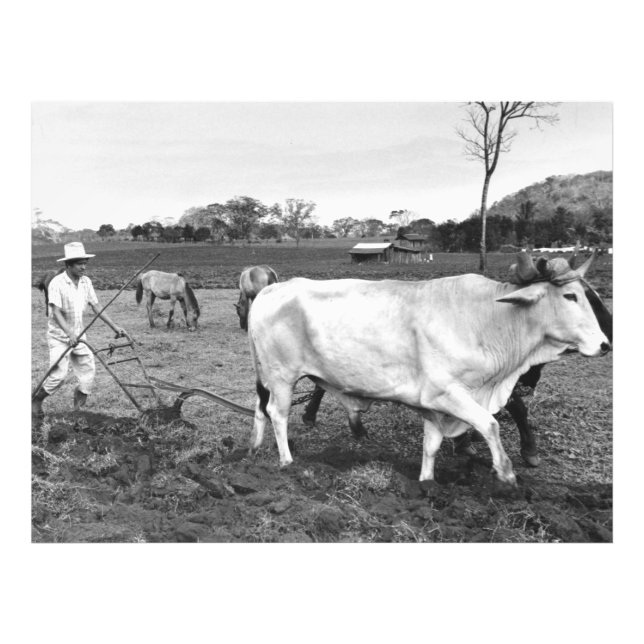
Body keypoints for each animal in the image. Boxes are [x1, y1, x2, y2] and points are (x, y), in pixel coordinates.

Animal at [247, 253, 610, 485]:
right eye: (570, 296)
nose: (605, 344)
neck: (489, 317)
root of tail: (270, 290)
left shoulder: (435, 407)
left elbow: (431, 446)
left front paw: (426, 484)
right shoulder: (448, 394)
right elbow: (490, 425)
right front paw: (506, 475)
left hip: (268, 376)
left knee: (260, 408)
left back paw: (253, 449)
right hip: (282, 375)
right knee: (278, 414)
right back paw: (286, 462)